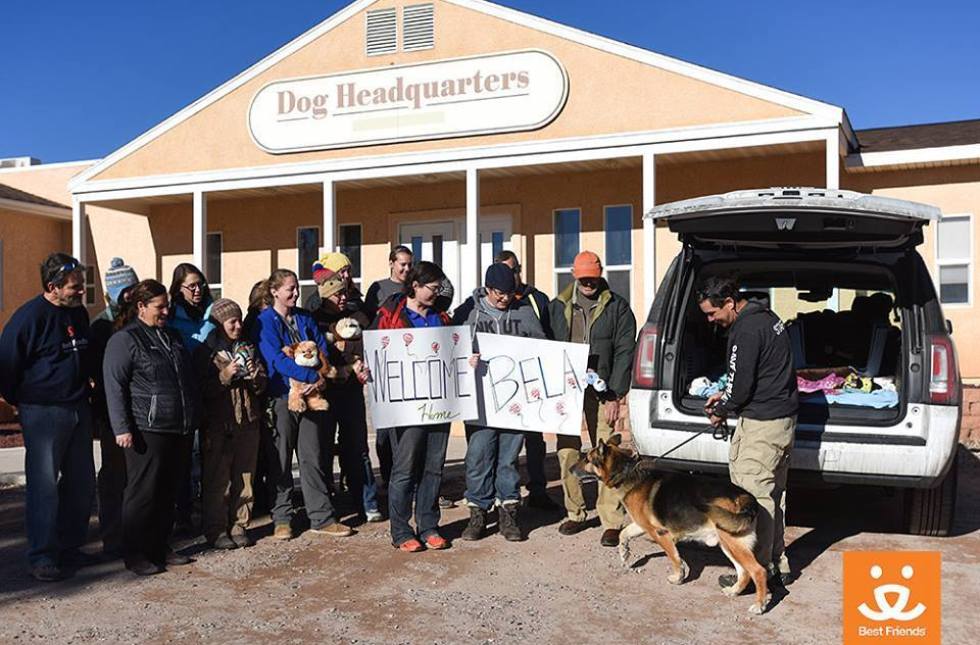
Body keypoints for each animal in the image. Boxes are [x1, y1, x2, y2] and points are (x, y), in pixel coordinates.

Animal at [572, 432, 768, 612]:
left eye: (587, 459)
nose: (570, 469)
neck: (627, 472)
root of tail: (745, 497)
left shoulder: (660, 533)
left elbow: (674, 557)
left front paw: (678, 577)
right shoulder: (642, 525)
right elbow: (623, 534)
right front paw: (624, 553)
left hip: (732, 543)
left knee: (758, 571)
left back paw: (759, 605)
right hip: (730, 544)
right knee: (744, 572)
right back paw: (734, 591)